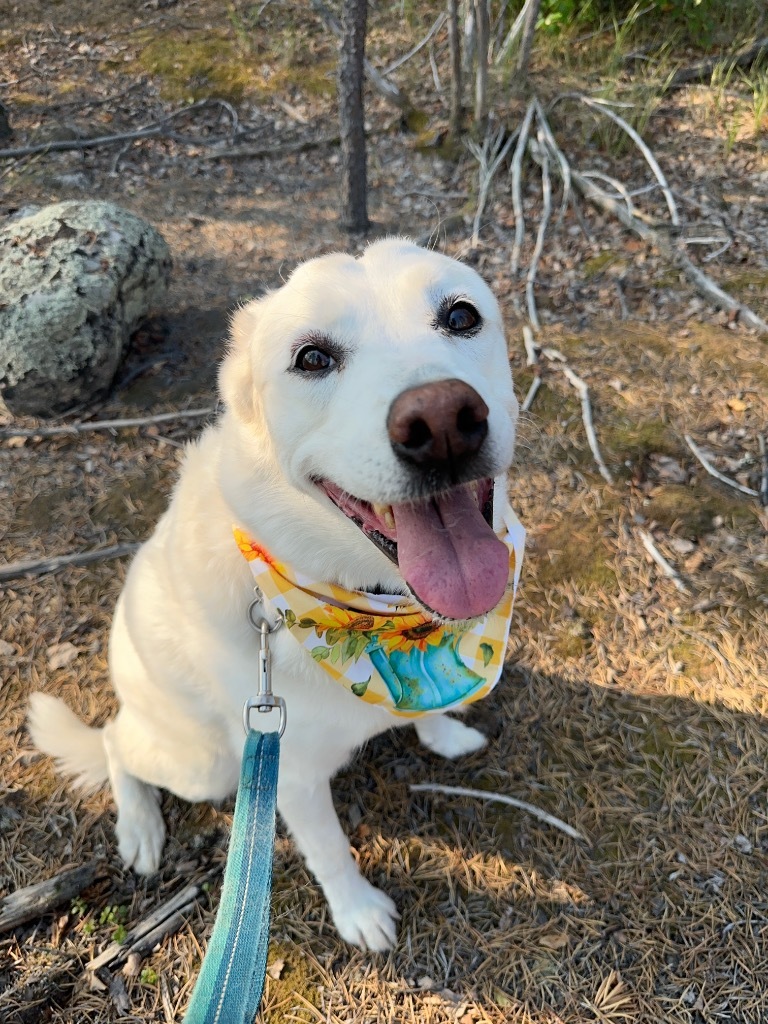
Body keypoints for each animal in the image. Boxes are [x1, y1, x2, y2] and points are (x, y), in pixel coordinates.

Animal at [30, 235, 524, 946]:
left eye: (461, 316)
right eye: (312, 358)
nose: (442, 422)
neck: (374, 611)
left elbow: (427, 707)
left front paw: (442, 731)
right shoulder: (286, 776)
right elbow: (330, 851)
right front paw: (358, 912)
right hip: (205, 766)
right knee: (114, 745)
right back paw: (139, 828)